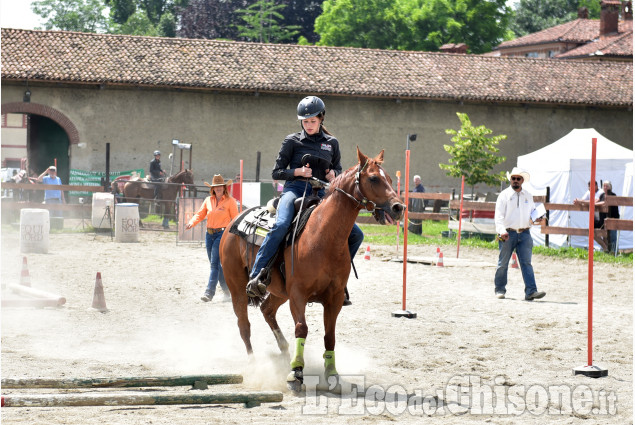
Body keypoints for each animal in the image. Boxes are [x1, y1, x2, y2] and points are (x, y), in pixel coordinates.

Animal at [221, 147, 404, 390]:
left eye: (391, 179)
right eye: (374, 178)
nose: (399, 207)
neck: (323, 237)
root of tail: (234, 221)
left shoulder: (334, 297)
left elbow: (330, 336)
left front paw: (332, 374)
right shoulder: (298, 294)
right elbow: (302, 328)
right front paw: (296, 373)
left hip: (280, 292)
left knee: (267, 310)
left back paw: (284, 352)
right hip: (237, 287)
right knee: (244, 325)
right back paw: (254, 366)